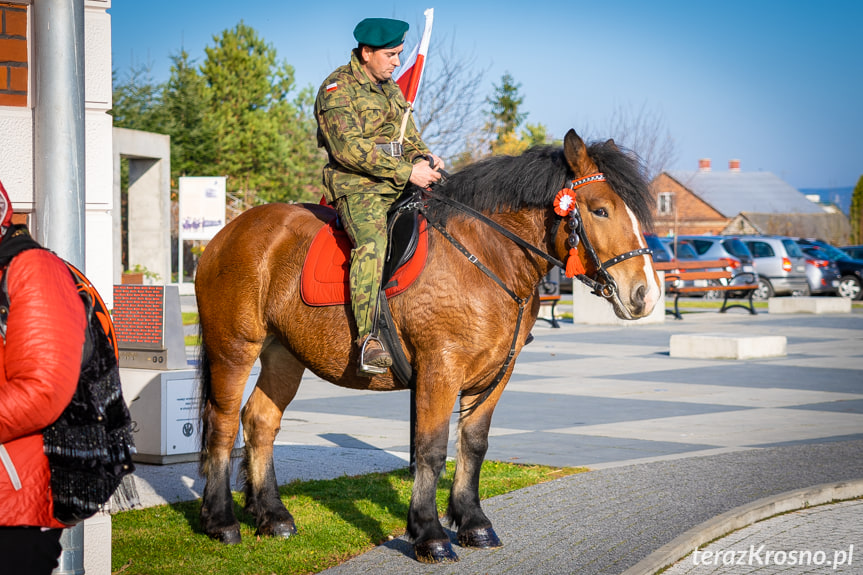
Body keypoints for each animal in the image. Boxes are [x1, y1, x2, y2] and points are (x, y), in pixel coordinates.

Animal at [194, 129, 656, 564]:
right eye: (600, 209)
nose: (644, 295)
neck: (486, 257)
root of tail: (227, 233)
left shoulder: (495, 374)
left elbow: (474, 444)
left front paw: (473, 523)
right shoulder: (440, 369)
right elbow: (431, 451)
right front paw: (429, 534)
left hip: (284, 355)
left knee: (260, 421)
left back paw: (274, 517)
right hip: (233, 348)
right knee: (223, 424)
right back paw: (222, 522)